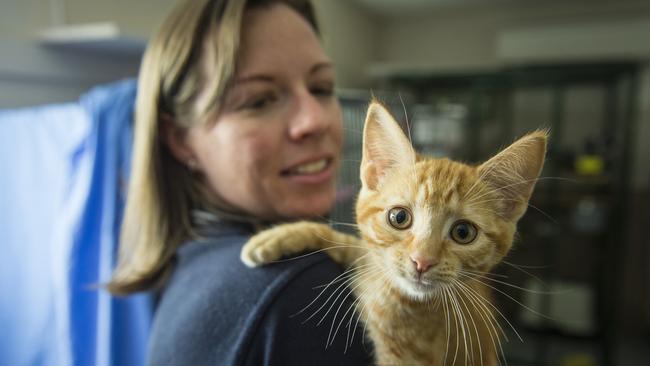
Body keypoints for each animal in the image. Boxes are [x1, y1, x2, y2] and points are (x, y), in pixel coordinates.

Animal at [240, 101, 544, 366]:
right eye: (399, 217)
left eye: (463, 232)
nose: (422, 261)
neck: (395, 298)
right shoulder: (372, 262)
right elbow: (354, 245)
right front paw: (279, 236)